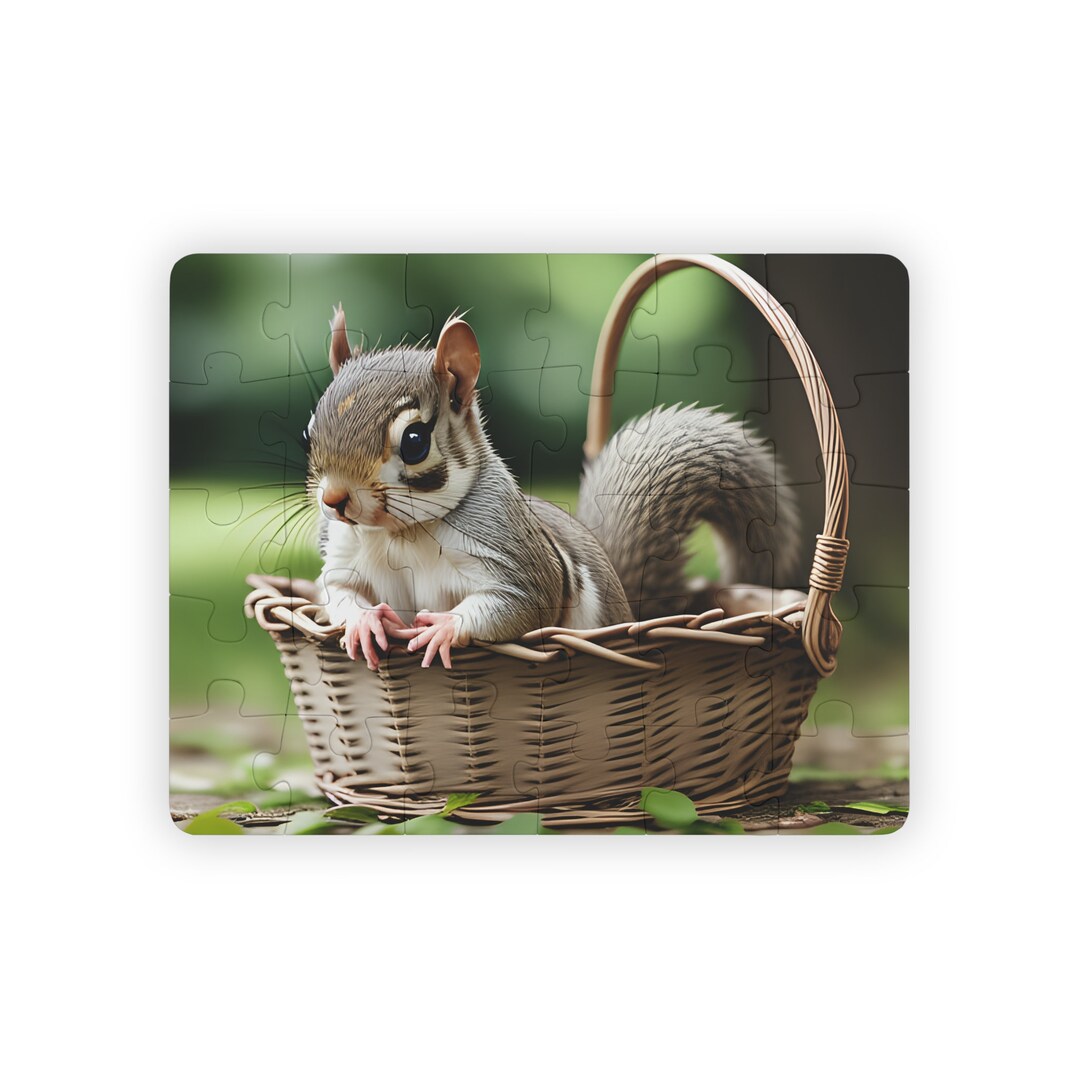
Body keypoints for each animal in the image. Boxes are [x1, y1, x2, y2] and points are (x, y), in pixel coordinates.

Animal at [308, 305, 799, 670]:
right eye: (309, 430)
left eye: (414, 441)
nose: (334, 500)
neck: (403, 533)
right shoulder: (344, 554)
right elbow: (337, 591)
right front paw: (363, 623)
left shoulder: (514, 555)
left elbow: (521, 603)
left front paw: (445, 628)